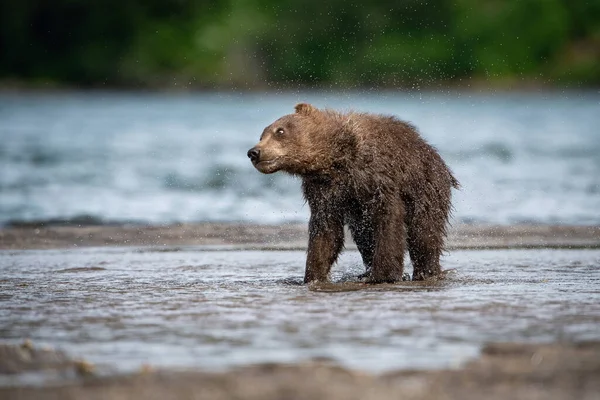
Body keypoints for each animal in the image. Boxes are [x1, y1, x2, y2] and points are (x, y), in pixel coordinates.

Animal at [246, 104, 458, 284]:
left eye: (280, 131)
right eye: (262, 134)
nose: (254, 152)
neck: (336, 159)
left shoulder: (377, 176)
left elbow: (388, 221)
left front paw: (383, 274)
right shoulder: (324, 191)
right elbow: (326, 231)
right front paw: (313, 276)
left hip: (426, 186)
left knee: (424, 232)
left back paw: (426, 271)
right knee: (363, 235)